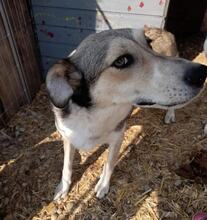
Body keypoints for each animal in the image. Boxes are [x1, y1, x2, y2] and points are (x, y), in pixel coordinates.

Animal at [46, 27, 206, 199]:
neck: (93, 116)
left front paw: (103, 186)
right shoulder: (67, 138)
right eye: (121, 61)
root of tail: (163, 30)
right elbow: (66, 166)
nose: (201, 73)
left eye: (148, 43)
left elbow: (109, 164)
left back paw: (170, 115)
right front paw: (63, 188)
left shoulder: (117, 137)